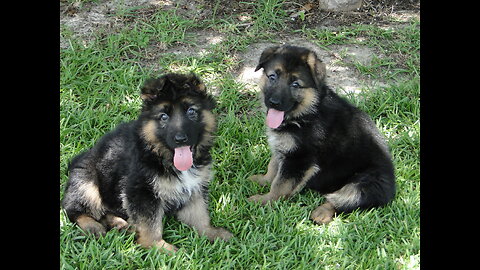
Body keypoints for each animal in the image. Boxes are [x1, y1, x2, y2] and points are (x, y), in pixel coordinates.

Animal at [61, 73, 233, 251]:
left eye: (191, 111)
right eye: (164, 116)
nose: (180, 139)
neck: (161, 156)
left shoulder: (194, 187)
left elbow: (199, 214)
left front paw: (211, 233)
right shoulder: (141, 191)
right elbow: (150, 225)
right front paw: (160, 248)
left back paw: (119, 224)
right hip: (88, 183)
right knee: (73, 209)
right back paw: (92, 226)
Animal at [249, 46, 396, 224]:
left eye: (295, 84)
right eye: (272, 77)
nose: (274, 102)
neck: (306, 113)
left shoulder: (299, 160)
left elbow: (280, 185)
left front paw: (265, 201)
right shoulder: (283, 149)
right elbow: (273, 168)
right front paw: (262, 180)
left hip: (367, 183)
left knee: (345, 200)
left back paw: (322, 213)